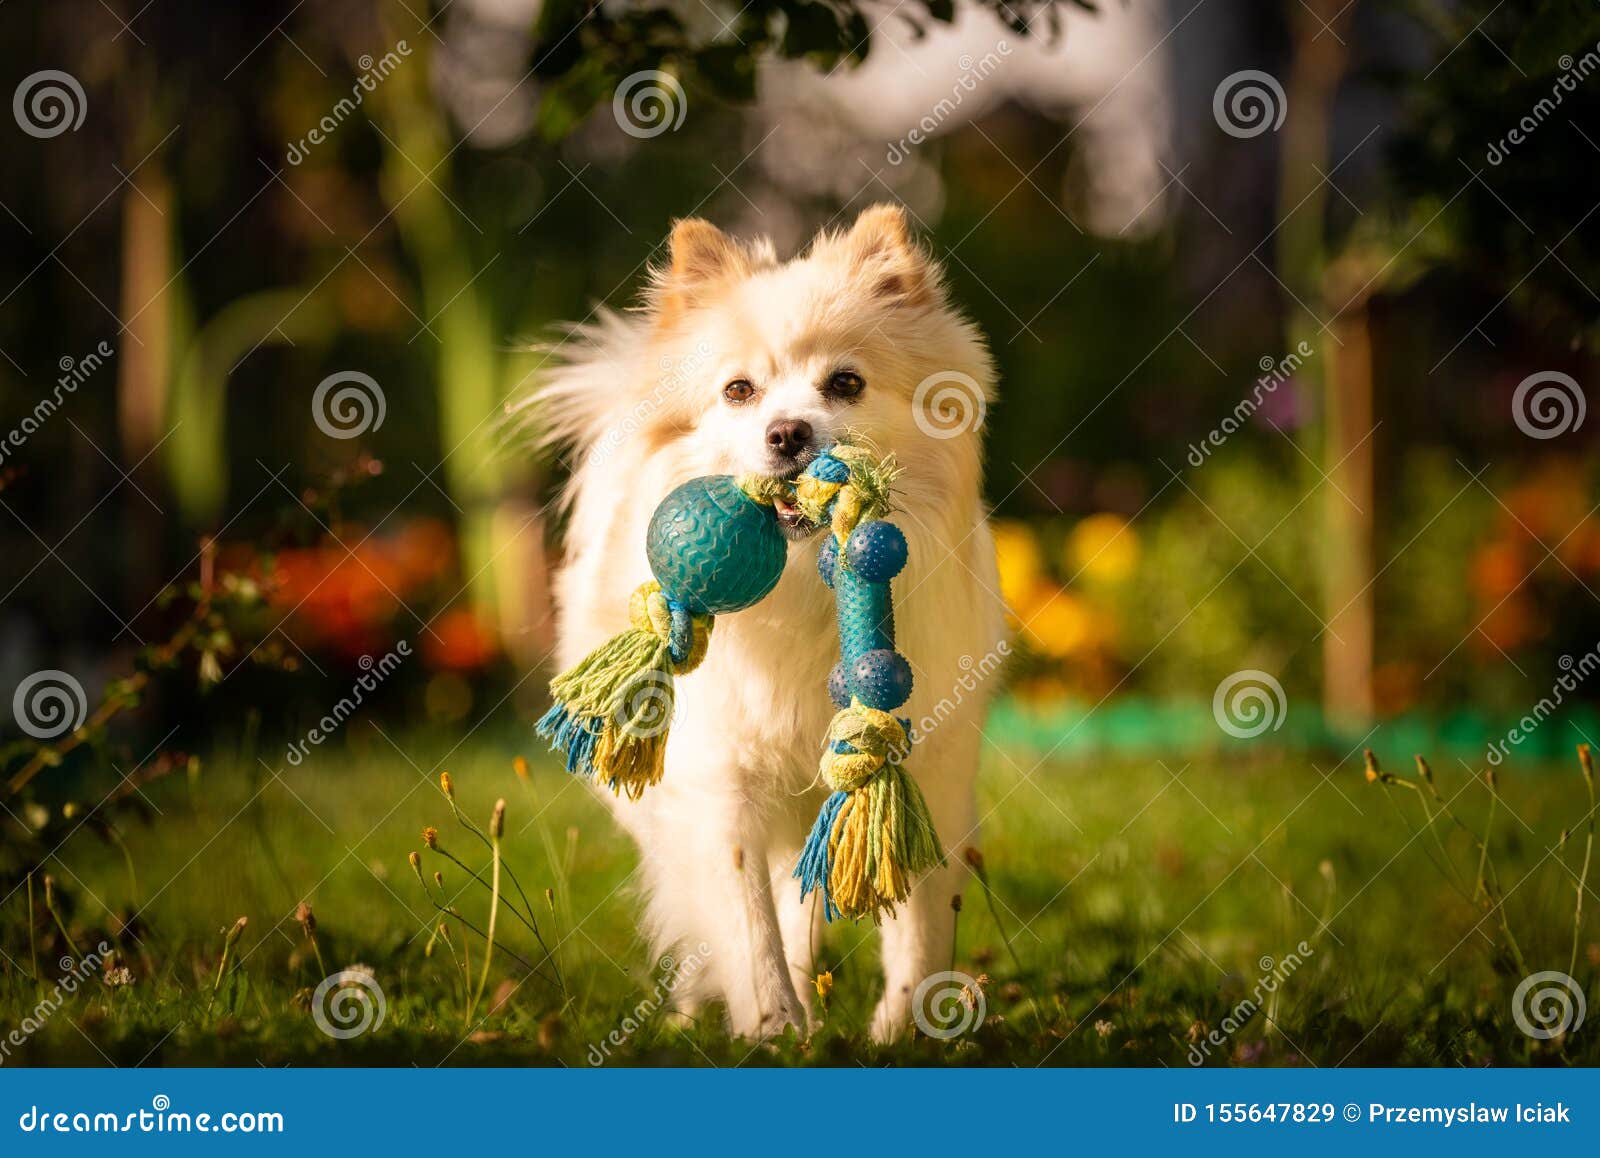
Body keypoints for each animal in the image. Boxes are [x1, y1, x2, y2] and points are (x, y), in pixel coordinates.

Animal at [537, 201, 1011, 1042]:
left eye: (845, 383)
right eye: (739, 391)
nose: (787, 432)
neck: (803, 589)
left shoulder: (929, 769)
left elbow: (919, 922)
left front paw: (901, 1032)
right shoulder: (721, 778)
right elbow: (743, 913)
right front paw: (773, 1030)